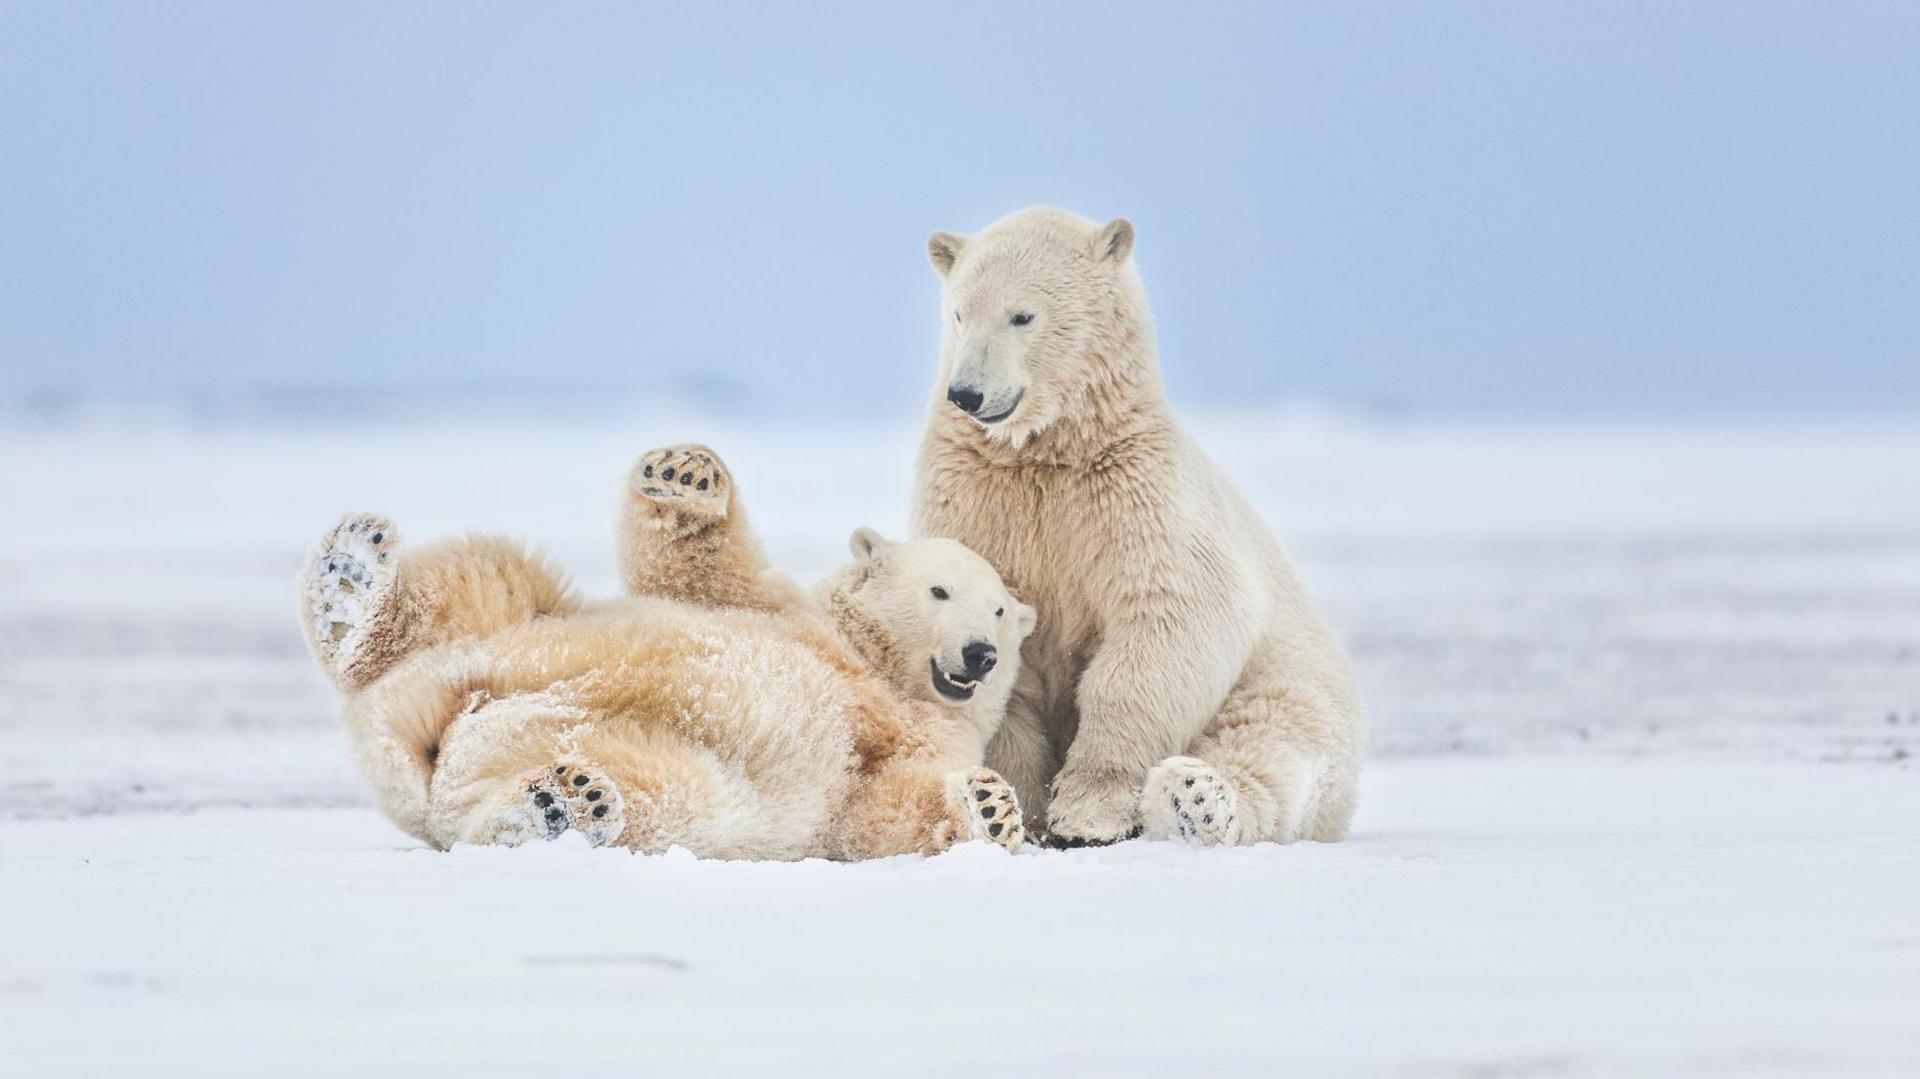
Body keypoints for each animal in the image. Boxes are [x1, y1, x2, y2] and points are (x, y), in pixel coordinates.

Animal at [297, 439, 1036, 856]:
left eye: (1000, 609)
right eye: (940, 590)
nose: (981, 653)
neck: (875, 668)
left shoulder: (920, 741)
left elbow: (885, 810)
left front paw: (992, 810)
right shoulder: (784, 613)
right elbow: (700, 568)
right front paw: (685, 470)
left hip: (654, 764)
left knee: (645, 800)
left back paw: (563, 803)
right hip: (498, 638)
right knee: (484, 575)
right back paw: (351, 578)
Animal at [913, 205, 1367, 844]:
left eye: (1022, 315)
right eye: (959, 312)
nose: (966, 393)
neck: (1048, 452)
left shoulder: (1136, 493)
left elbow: (1174, 612)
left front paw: (1087, 813)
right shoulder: (978, 499)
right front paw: (1010, 807)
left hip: (1289, 675)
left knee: (1275, 742)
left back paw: (1197, 799)